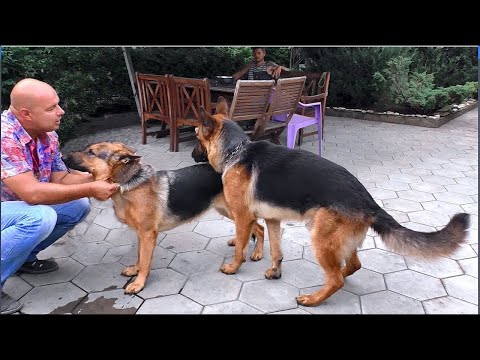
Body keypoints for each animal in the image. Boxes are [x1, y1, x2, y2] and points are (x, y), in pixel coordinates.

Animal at [62, 97, 264, 292]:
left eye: (90, 152)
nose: (62, 157)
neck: (128, 184)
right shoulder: (140, 234)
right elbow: (139, 256)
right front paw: (135, 270)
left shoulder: (147, 234)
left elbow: (145, 261)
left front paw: (139, 283)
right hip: (228, 211)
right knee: (254, 227)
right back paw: (242, 243)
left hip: (236, 211)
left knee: (258, 227)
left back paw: (257, 253)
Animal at [197, 105, 470, 306]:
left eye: (198, 137)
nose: (191, 156)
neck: (236, 150)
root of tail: (368, 201)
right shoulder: (273, 219)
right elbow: (276, 250)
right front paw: (275, 271)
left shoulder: (243, 217)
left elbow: (240, 247)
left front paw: (233, 267)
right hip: (338, 239)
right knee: (350, 266)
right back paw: (336, 279)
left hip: (320, 238)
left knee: (336, 277)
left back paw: (314, 298)